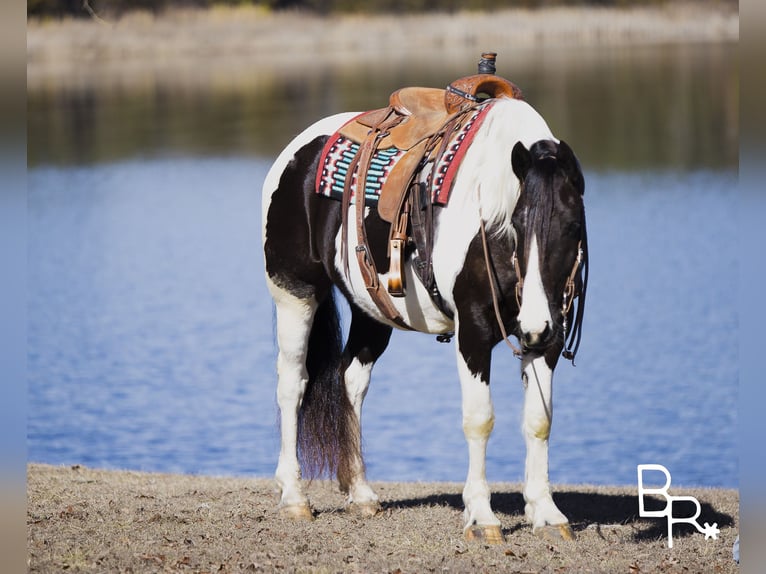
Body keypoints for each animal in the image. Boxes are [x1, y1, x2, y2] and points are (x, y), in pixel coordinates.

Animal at [260, 86, 592, 544]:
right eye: (518, 225)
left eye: (573, 226)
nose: (535, 326)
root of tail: (295, 153)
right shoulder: (474, 331)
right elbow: (480, 419)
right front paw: (482, 516)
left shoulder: (548, 340)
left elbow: (539, 420)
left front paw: (546, 512)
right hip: (295, 294)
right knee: (293, 384)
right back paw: (294, 497)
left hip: (370, 312)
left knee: (351, 382)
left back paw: (361, 493)